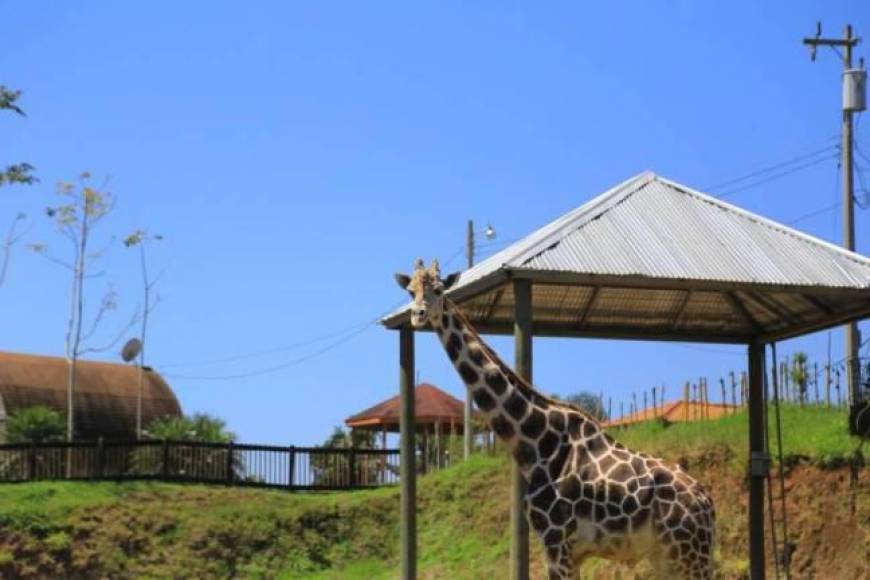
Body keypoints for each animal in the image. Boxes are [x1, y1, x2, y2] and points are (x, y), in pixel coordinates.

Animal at [398, 260, 720, 576]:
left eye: (439, 289)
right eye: (411, 291)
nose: (418, 315)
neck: (535, 442)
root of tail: (707, 504)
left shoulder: (556, 540)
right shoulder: (565, 548)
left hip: (687, 553)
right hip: (666, 556)